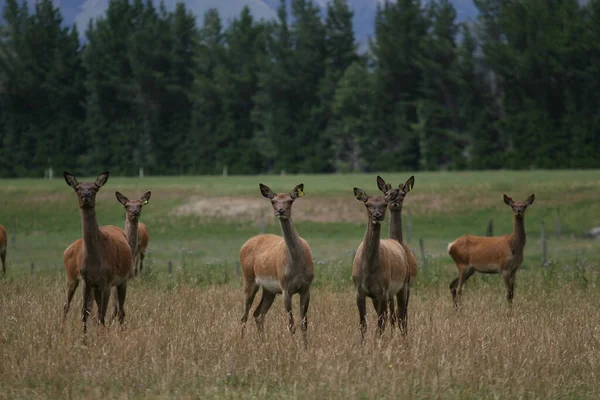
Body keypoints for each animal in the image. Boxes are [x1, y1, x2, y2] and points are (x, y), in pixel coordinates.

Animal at [61, 170, 134, 332]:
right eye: (77, 188)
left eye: (95, 188)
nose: (86, 195)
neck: (95, 261)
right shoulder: (86, 280)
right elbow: (84, 313)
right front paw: (84, 337)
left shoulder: (107, 280)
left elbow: (102, 314)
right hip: (73, 279)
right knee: (67, 305)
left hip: (122, 279)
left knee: (120, 310)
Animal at [239, 183, 314, 346]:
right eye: (273, 201)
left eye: (290, 201)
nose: (281, 211)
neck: (297, 264)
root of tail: (244, 244)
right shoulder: (285, 287)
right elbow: (291, 324)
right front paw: (293, 347)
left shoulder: (306, 287)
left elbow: (304, 323)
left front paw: (306, 347)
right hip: (248, 278)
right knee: (244, 315)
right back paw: (241, 342)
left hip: (269, 290)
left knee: (258, 313)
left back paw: (262, 342)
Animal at [354, 185, 410, 340]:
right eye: (367, 204)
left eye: (384, 204)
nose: (377, 216)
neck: (368, 270)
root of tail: (396, 242)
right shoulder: (359, 291)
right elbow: (363, 324)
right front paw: (362, 343)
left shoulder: (383, 291)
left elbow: (381, 323)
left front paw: (378, 342)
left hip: (403, 285)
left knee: (401, 316)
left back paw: (404, 340)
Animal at [376, 175, 418, 334]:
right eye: (386, 193)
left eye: (403, 193)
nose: (394, 200)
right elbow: (392, 315)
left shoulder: (406, 285)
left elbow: (402, 314)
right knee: (394, 313)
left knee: (403, 312)